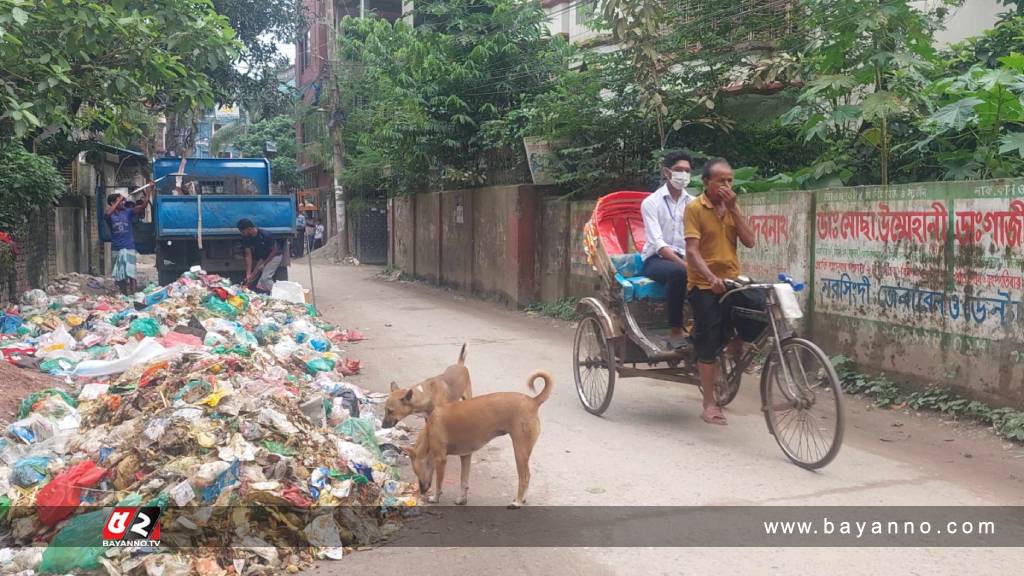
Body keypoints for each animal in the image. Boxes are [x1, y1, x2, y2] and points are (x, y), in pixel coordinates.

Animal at [407, 366, 552, 506]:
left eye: (416, 472)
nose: (422, 491)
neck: (429, 430)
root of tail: (533, 401)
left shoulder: (441, 460)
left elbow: (439, 483)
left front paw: (435, 497)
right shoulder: (466, 456)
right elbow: (463, 481)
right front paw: (462, 499)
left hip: (520, 450)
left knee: (525, 477)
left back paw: (517, 502)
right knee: (528, 475)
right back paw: (523, 499)